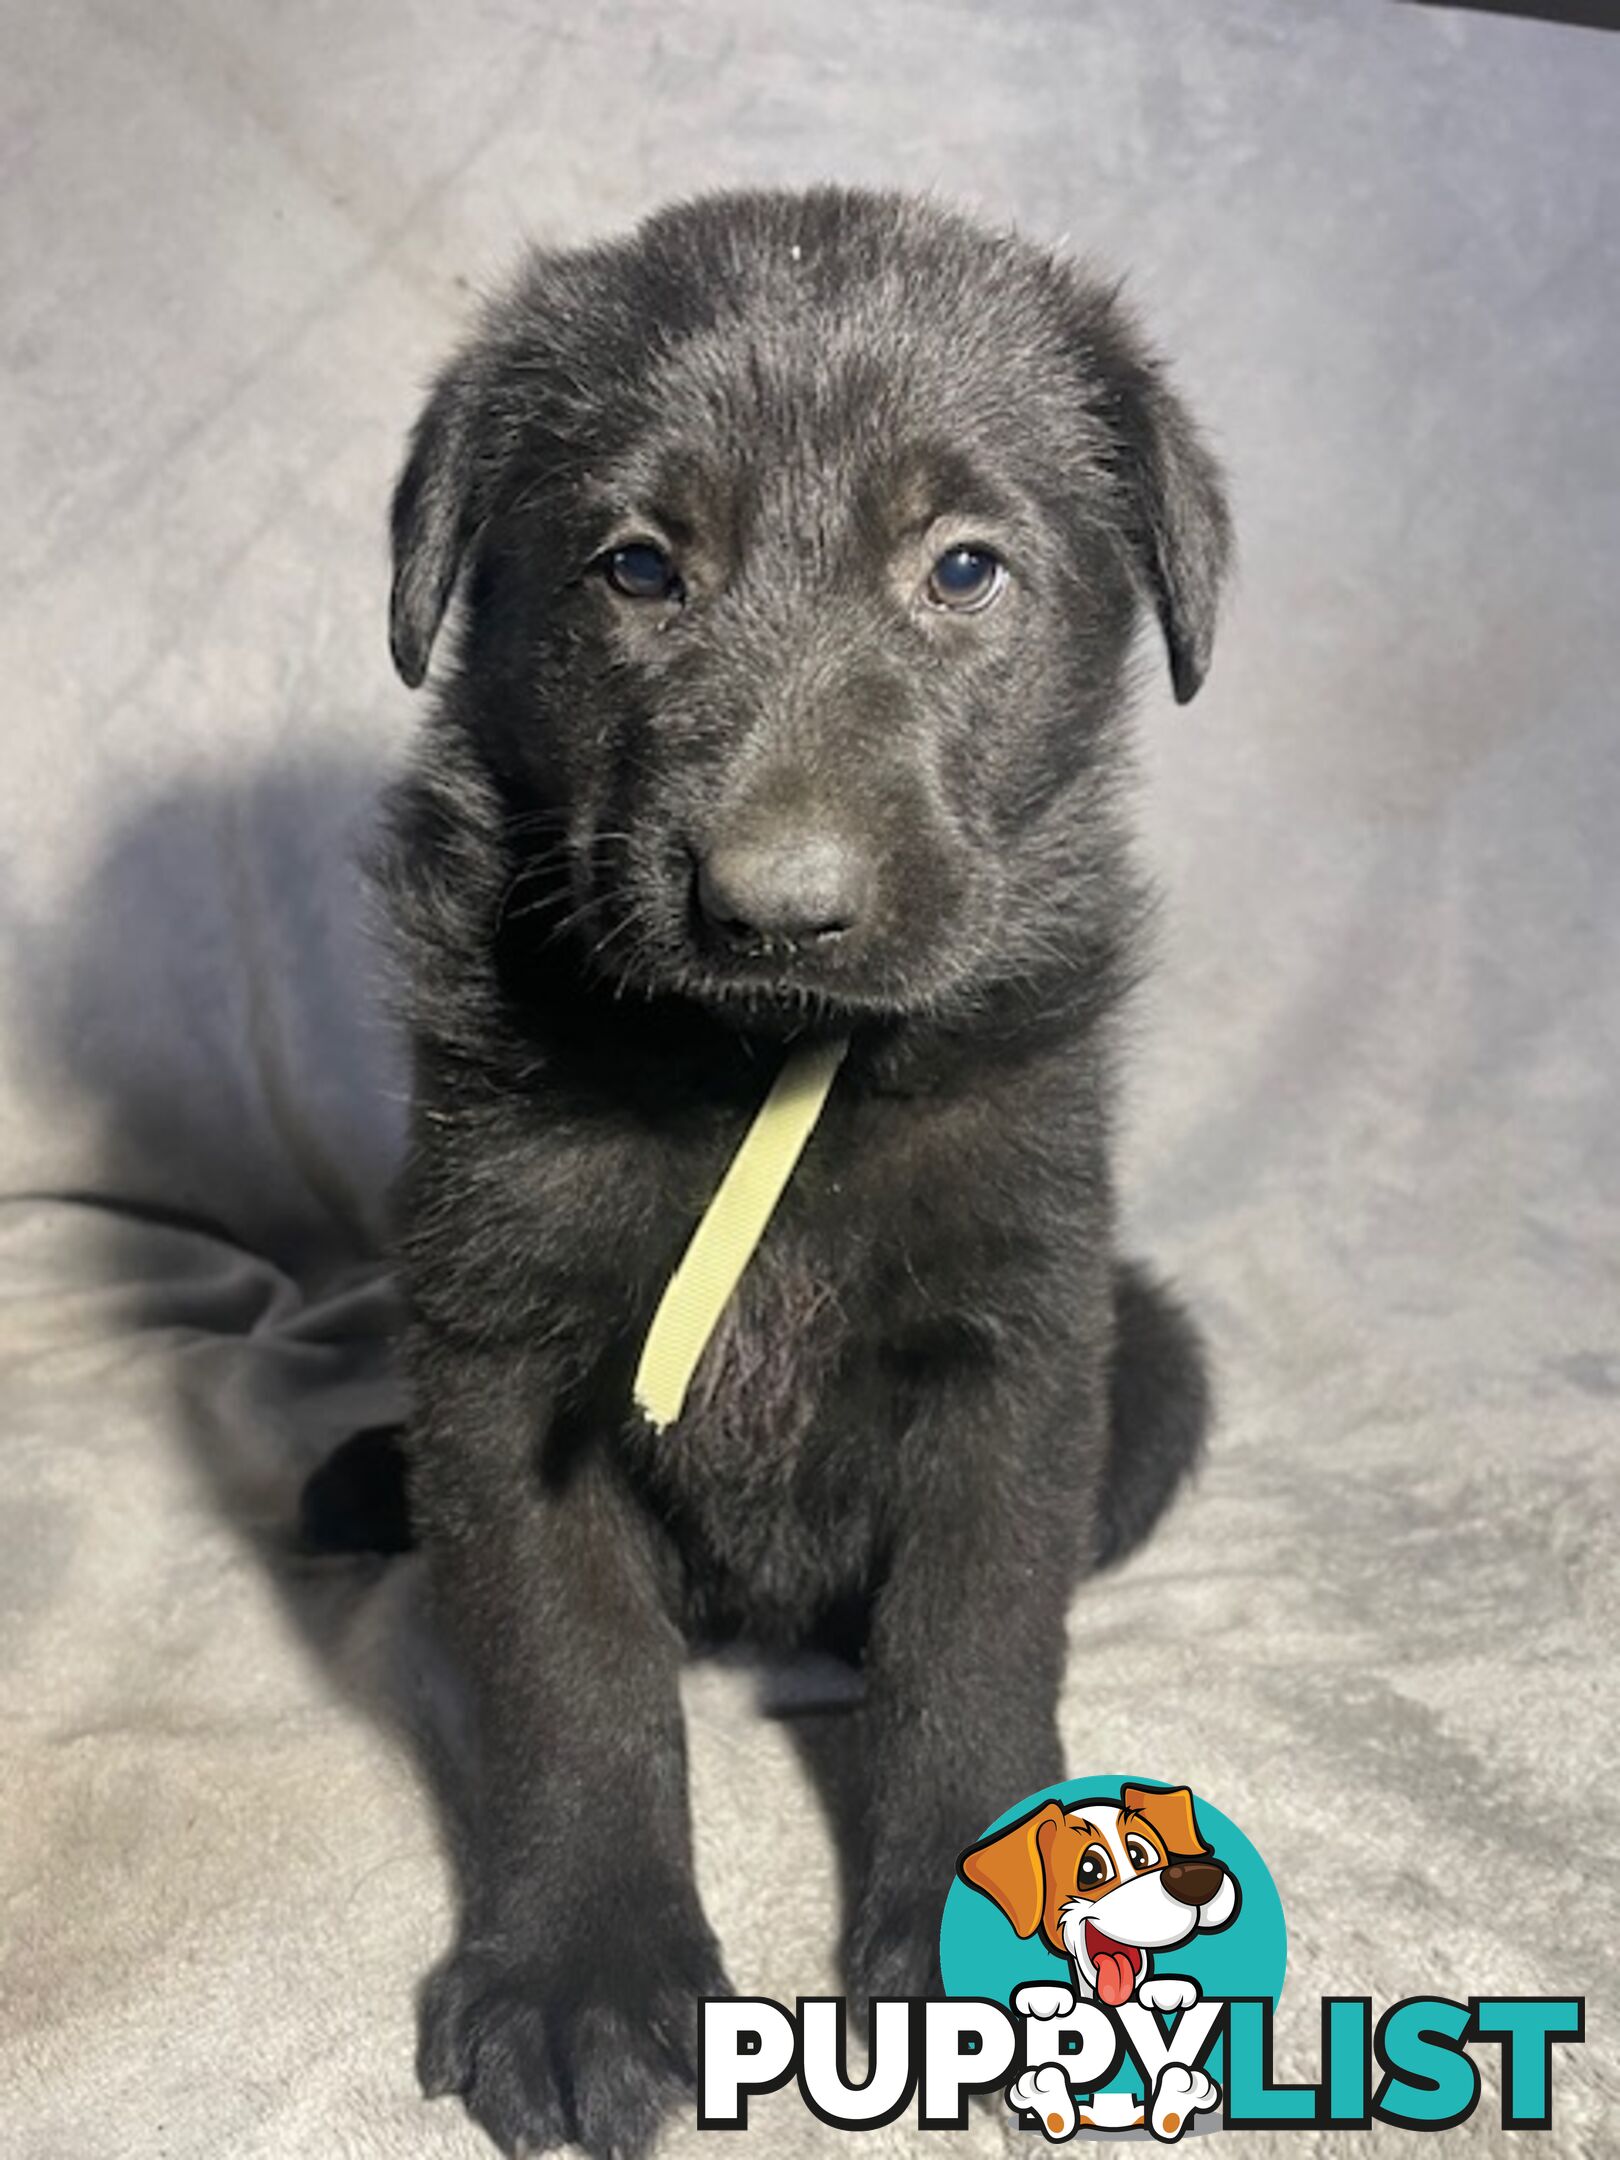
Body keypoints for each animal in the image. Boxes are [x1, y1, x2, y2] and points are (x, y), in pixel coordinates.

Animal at [311, 190, 1226, 2160]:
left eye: (964, 569)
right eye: (639, 567)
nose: (776, 907)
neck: (767, 1078)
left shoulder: (1020, 1337)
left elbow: (973, 1645)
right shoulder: (499, 1356)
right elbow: (571, 1675)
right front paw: (583, 1973)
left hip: (1158, 1354)